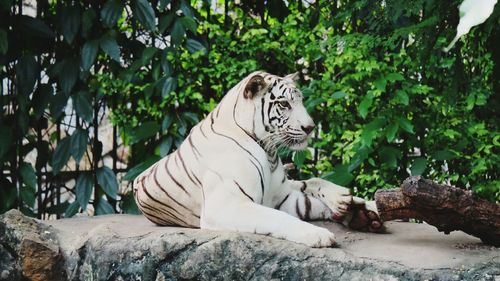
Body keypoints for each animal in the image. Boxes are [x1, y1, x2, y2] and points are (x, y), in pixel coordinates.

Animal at [133, 71, 382, 246]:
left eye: (301, 101)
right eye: (284, 104)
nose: (310, 127)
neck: (269, 152)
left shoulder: (282, 196)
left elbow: (309, 191)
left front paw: (353, 208)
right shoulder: (226, 204)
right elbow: (278, 217)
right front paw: (317, 234)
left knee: (308, 182)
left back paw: (358, 206)